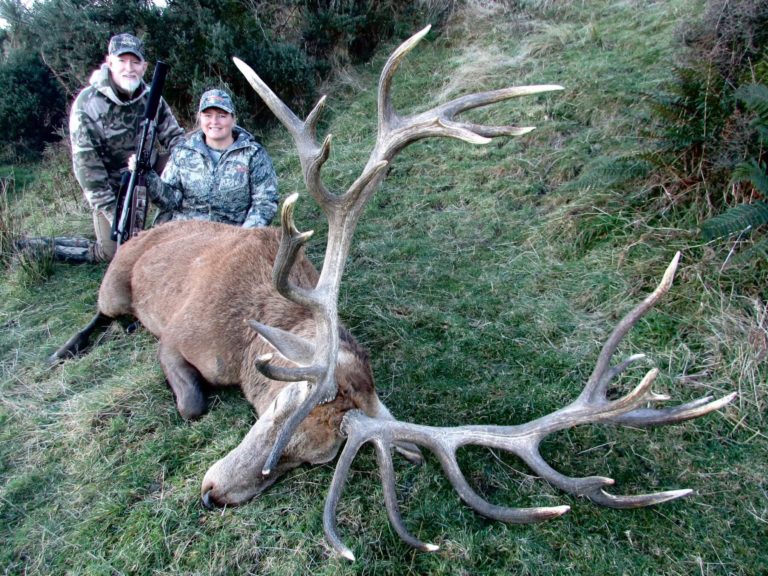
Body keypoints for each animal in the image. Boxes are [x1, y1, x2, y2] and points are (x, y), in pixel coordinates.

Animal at [51, 26, 735, 561]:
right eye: (274, 408)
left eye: (310, 458)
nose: (211, 491)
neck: (252, 332)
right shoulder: (181, 334)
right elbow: (189, 396)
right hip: (116, 279)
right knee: (102, 306)